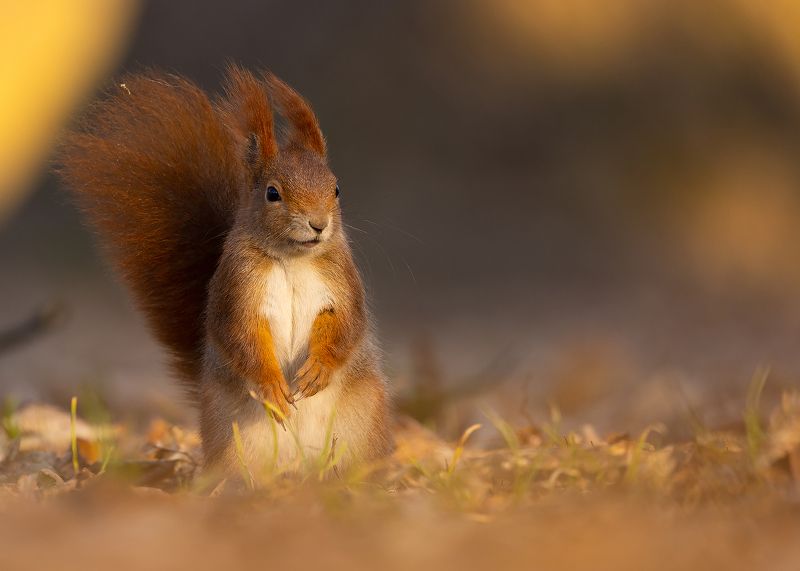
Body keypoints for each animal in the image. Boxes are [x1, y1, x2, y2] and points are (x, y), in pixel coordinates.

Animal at [59, 65, 393, 472]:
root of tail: (298, 468)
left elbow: (346, 325)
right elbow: (241, 335)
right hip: (233, 437)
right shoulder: (237, 288)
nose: (318, 224)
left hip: (361, 425)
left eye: (337, 189)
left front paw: (318, 370)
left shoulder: (342, 282)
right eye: (272, 193)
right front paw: (272, 387)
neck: (292, 259)